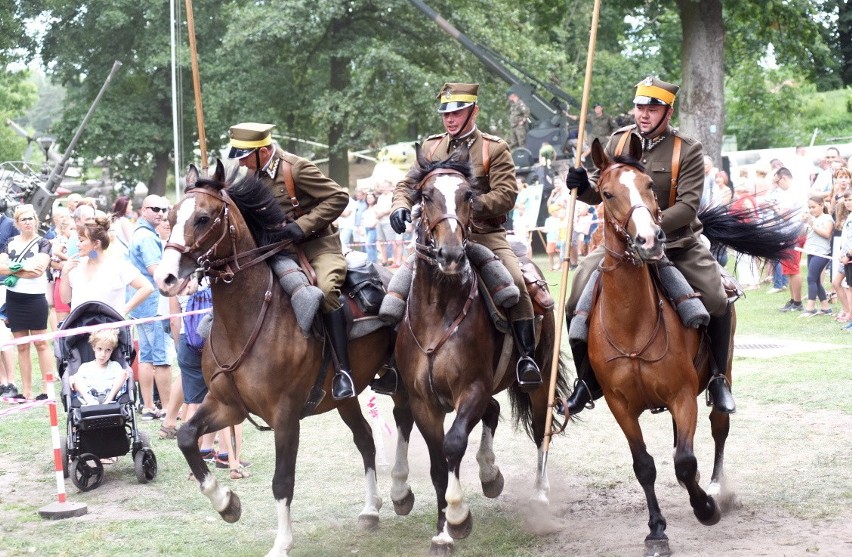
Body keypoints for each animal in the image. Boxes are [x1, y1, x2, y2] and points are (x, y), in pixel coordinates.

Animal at [153, 161, 400, 556]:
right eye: (172, 216)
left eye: (203, 218)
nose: (165, 277)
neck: (247, 317)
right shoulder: (226, 406)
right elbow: (187, 436)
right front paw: (227, 503)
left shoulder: (285, 417)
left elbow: (282, 480)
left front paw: (282, 542)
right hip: (345, 398)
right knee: (365, 439)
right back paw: (370, 509)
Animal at [392, 150, 564, 552]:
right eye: (426, 196)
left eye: (468, 195)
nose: (452, 254)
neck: (438, 312)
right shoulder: (423, 402)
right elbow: (439, 463)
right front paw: (442, 531)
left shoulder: (471, 389)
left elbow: (454, 444)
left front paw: (458, 516)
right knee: (495, 412)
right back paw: (490, 473)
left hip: (538, 383)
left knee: (540, 430)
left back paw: (540, 495)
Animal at [584, 136, 800, 556]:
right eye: (606, 193)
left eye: (649, 186)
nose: (650, 241)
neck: (632, 323)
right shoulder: (621, 406)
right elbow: (645, 465)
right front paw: (656, 531)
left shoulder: (682, 396)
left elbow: (684, 461)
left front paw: (705, 508)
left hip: (721, 371)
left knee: (718, 428)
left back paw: (713, 486)